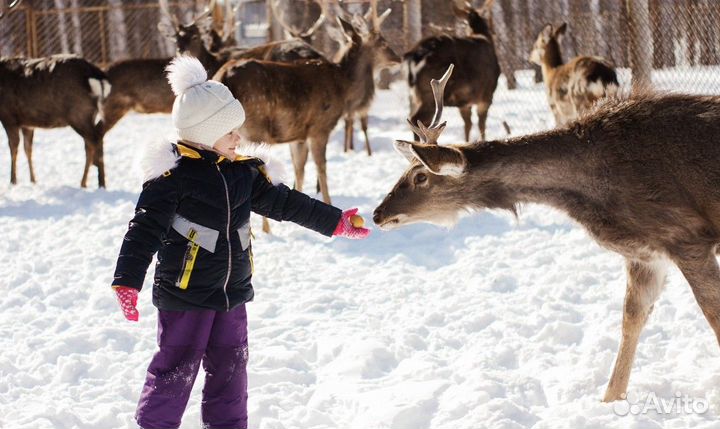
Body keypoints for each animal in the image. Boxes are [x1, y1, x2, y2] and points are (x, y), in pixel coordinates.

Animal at [1, 53, 111, 186]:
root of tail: (95, 74)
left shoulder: (8, 117)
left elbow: (13, 148)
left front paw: (13, 181)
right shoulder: (27, 123)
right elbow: (28, 149)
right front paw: (33, 180)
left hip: (79, 114)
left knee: (94, 142)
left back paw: (90, 182)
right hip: (89, 115)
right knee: (96, 140)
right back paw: (96, 182)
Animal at [374, 63, 720, 402]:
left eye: (420, 177)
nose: (378, 214)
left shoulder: (685, 234)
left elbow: (712, 312)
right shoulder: (645, 253)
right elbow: (631, 318)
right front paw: (609, 399)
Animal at [404, 0, 500, 144]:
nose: (494, 31)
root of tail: (414, 56)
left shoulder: (464, 102)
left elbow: (467, 125)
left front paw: (466, 142)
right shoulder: (486, 96)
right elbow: (481, 125)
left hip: (414, 95)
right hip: (429, 94)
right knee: (416, 119)